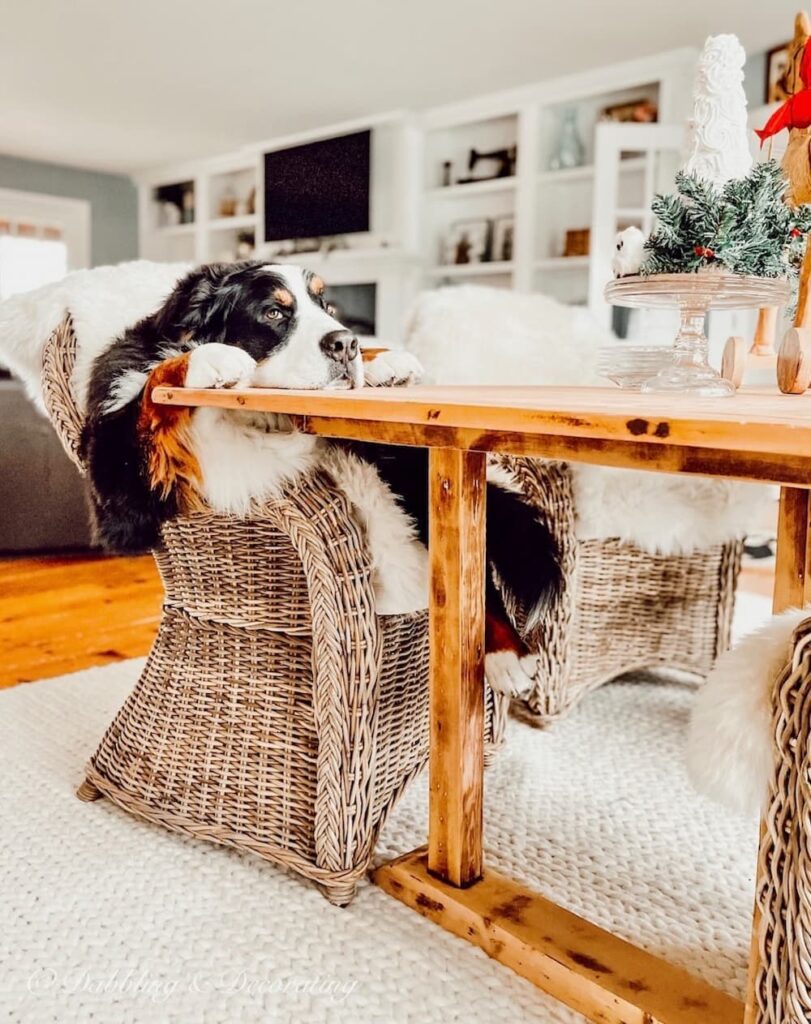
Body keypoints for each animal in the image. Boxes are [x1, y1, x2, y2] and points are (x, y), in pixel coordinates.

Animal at [83, 260, 565, 700]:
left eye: (327, 306)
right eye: (274, 313)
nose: (346, 342)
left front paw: (382, 361)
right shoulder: (121, 497)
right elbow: (150, 389)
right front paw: (211, 358)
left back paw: (506, 654)